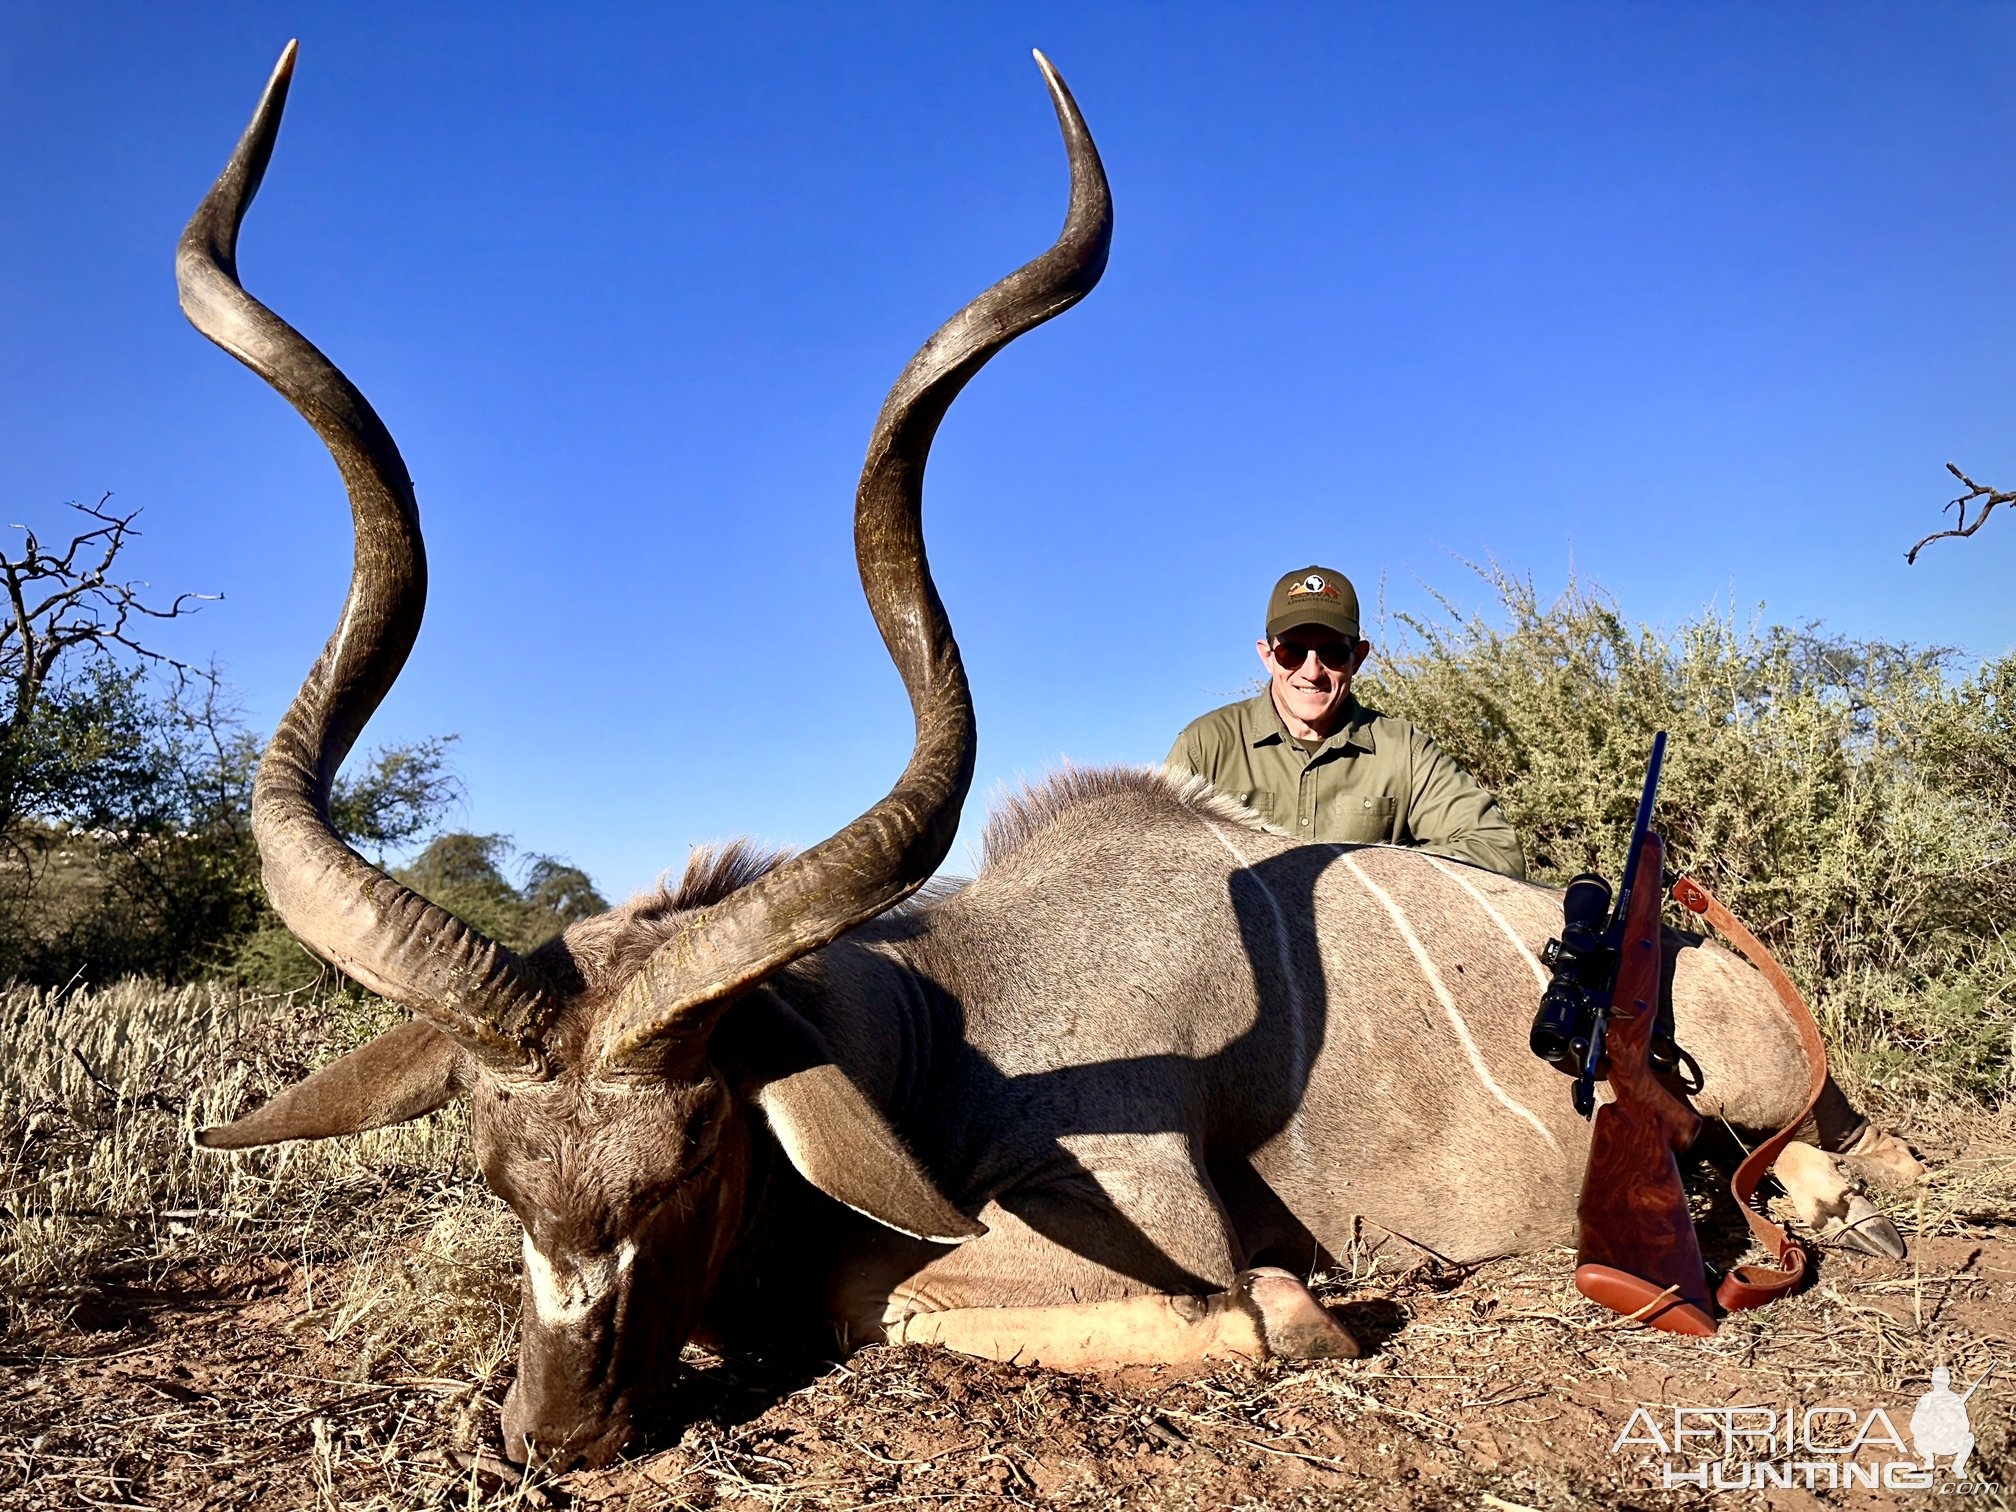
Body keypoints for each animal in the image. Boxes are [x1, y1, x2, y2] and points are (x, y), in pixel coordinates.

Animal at [185, 44, 1919, 1467]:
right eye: (494, 1175)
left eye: (693, 1157)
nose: (559, 1438)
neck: (949, 1031)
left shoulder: (1148, 1232)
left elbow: (923, 1297)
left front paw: (1309, 1311)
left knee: (1833, 1157)